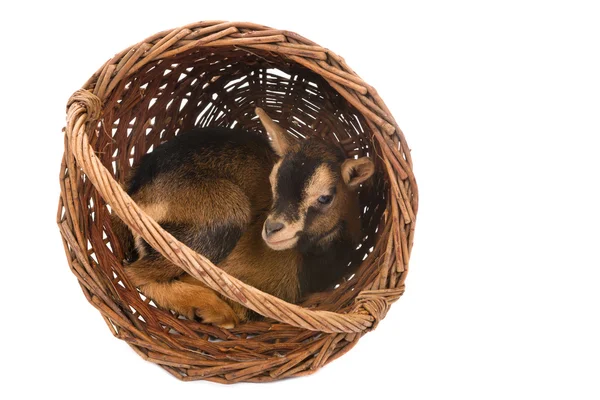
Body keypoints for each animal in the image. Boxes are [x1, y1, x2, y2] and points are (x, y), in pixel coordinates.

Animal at [114, 108, 372, 326]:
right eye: (273, 182)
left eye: (325, 197)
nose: (272, 228)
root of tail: (137, 191)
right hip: (226, 213)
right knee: (133, 273)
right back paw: (214, 311)